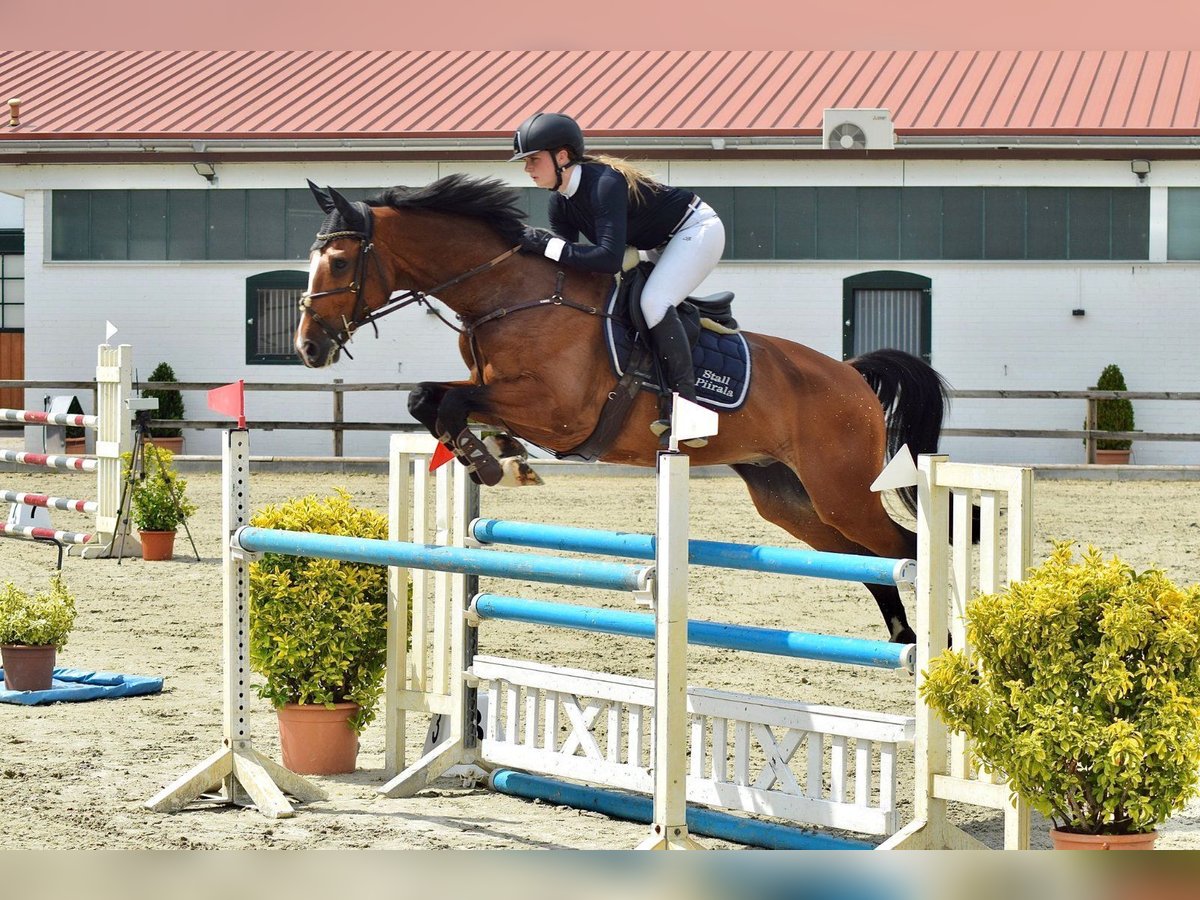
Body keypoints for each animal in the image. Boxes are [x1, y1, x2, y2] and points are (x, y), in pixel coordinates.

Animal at [295, 172, 950, 643]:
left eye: (341, 261)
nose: (308, 347)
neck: (506, 294)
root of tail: (852, 375)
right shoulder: (494, 386)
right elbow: (429, 397)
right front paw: (492, 455)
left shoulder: (559, 413)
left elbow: (449, 399)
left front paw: (490, 461)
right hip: (792, 499)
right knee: (868, 561)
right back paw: (904, 638)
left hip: (841, 488)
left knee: (905, 549)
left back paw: (940, 648)